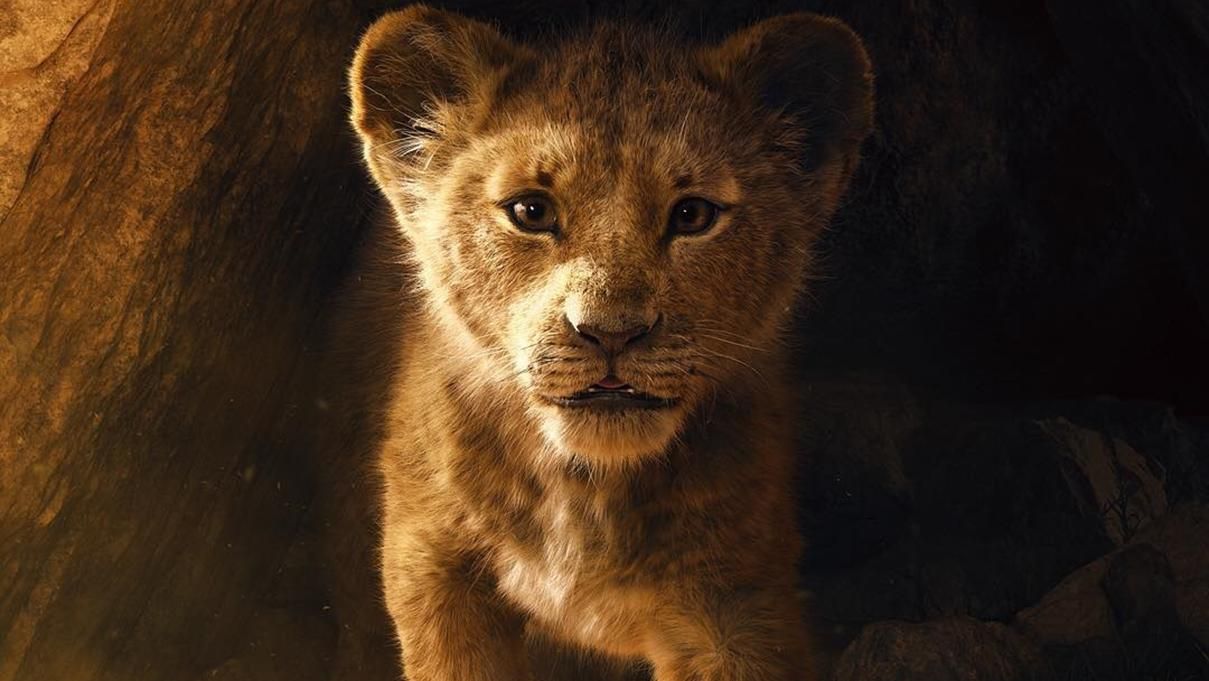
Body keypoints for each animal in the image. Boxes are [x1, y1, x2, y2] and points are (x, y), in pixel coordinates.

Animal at [345, 4, 873, 679]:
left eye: (692, 215)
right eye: (532, 211)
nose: (610, 331)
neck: (586, 491)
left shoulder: (737, 604)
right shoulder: (432, 568)